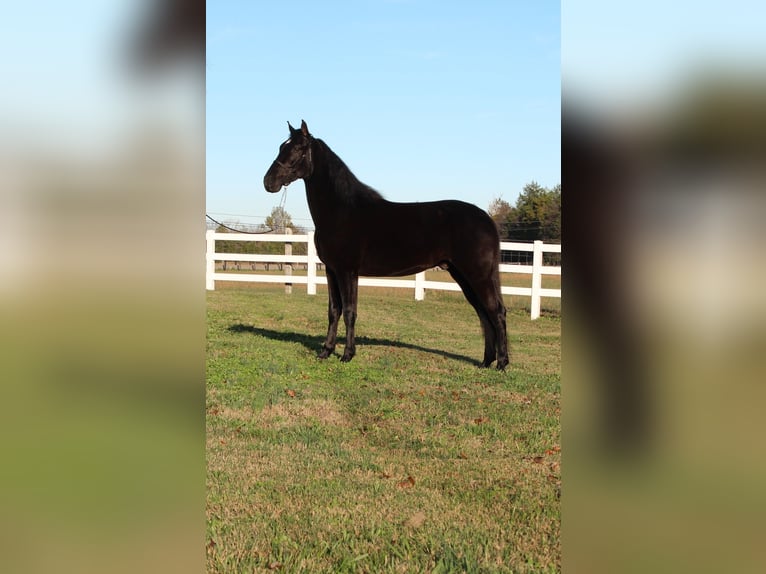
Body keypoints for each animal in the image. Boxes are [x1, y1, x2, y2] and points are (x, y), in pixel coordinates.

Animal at [264, 122, 510, 374]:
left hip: (477, 275)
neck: (341, 211)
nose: (268, 182)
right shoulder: (332, 271)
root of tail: (486, 219)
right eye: (282, 146)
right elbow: (334, 311)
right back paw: (486, 362)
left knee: (496, 312)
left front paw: (347, 355)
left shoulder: (347, 271)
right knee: (483, 313)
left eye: (297, 149)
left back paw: (501, 363)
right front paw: (326, 351)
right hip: (462, 275)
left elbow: (350, 312)